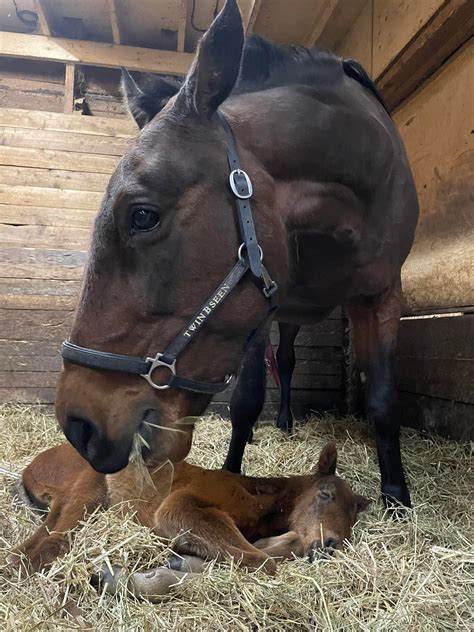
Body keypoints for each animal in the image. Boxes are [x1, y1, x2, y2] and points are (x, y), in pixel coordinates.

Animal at [12, 436, 370, 600]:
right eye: (325, 494)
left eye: (353, 516)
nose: (330, 544)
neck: (260, 498)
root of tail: (30, 469)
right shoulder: (182, 506)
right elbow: (263, 563)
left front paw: (177, 563)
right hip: (85, 495)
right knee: (38, 550)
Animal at [52, 0, 418, 506]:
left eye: (142, 216)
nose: (78, 426)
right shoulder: (264, 304)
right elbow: (246, 401)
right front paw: (231, 475)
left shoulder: (382, 294)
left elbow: (383, 399)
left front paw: (397, 497)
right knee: (284, 360)